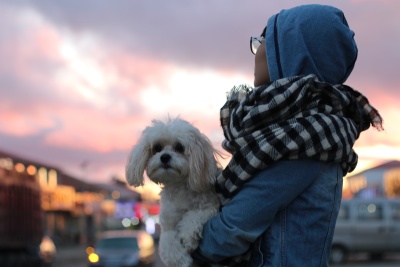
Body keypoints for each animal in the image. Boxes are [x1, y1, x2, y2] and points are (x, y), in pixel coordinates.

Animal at [126, 117, 222, 267]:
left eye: (179, 147)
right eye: (157, 148)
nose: (164, 157)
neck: (179, 187)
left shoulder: (210, 206)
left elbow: (194, 215)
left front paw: (188, 236)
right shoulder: (167, 225)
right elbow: (168, 244)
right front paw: (182, 260)